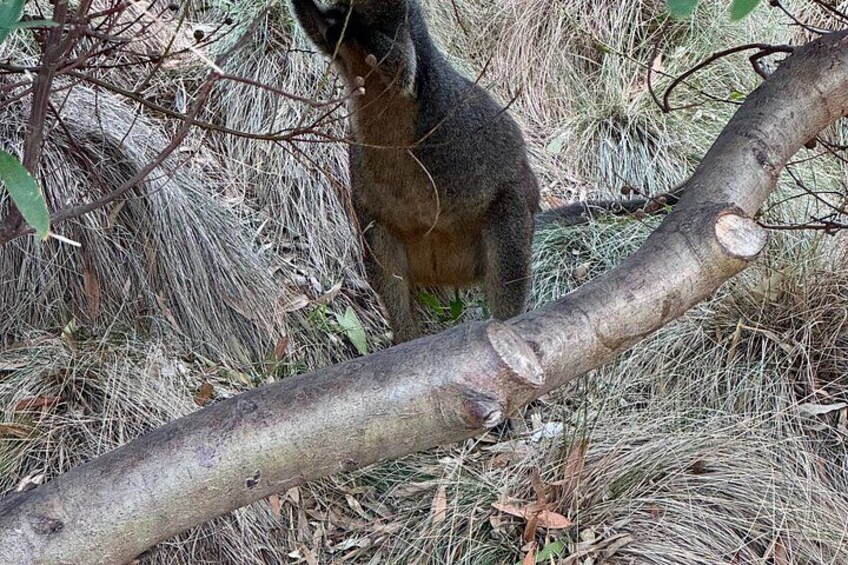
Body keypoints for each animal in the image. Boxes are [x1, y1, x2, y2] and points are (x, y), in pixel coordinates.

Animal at [290, 0, 541, 343]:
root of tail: (447, 274)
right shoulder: (337, 47)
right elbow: (317, 29)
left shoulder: (405, 39)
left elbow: (401, 67)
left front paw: (350, 22)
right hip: (376, 224)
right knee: (390, 281)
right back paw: (406, 338)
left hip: (509, 213)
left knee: (508, 281)